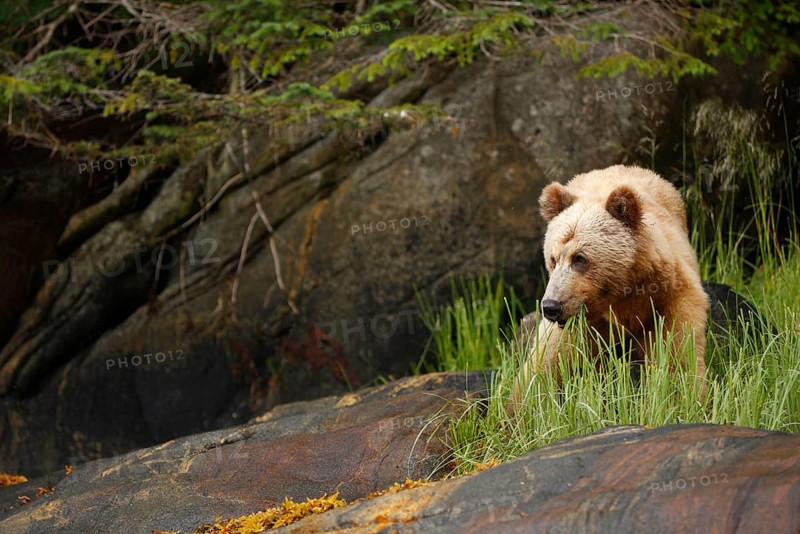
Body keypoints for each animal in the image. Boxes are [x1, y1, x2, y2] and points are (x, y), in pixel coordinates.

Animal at [510, 164, 709, 409]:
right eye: (553, 259)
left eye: (580, 258)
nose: (551, 306)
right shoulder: (578, 325)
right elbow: (545, 366)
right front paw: (519, 407)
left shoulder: (668, 300)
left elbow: (677, 353)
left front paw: (685, 399)